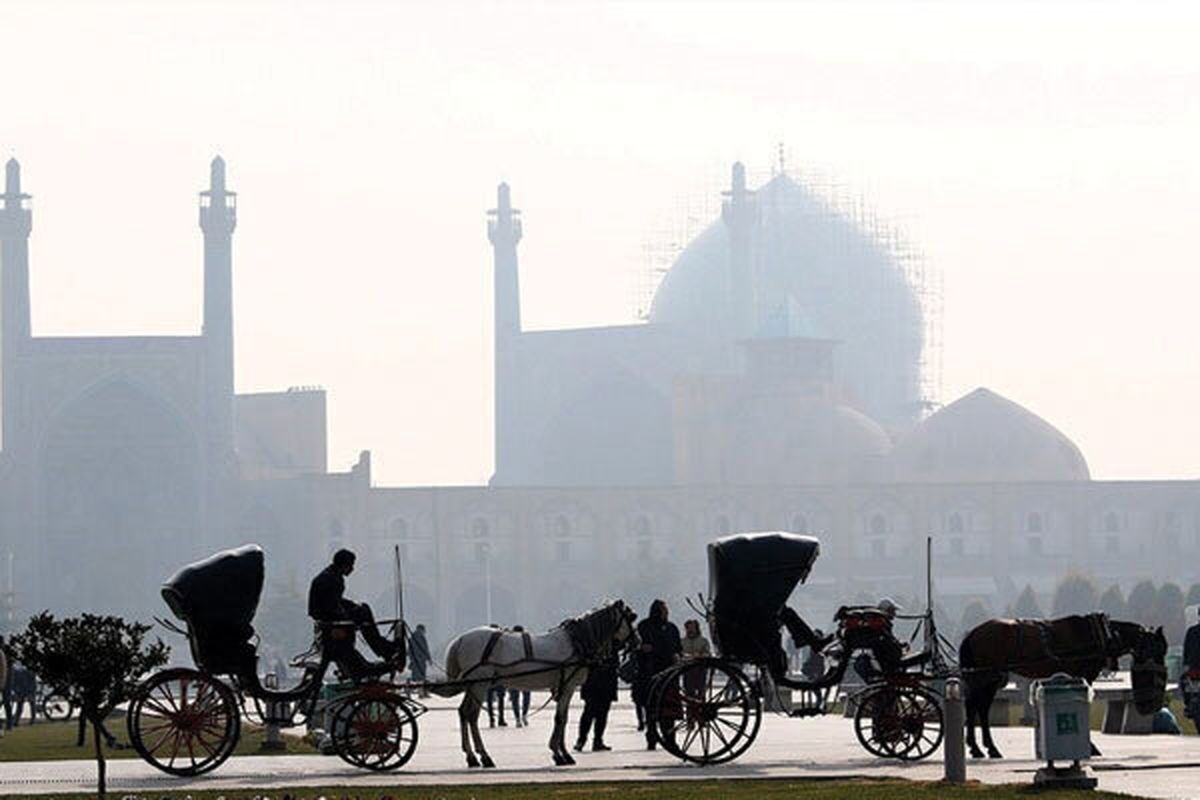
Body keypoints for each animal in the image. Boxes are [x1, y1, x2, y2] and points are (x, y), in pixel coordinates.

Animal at [432, 599, 638, 767]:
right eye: (631, 618)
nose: (638, 640)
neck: (576, 642)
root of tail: (460, 639)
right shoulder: (569, 686)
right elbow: (561, 718)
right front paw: (562, 754)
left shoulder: (564, 687)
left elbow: (562, 717)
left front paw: (559, 753)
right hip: (479, 684)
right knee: (472, 715)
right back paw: (484, 756)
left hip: (473, 684)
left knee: (463, 712)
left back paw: (471, 757)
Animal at [960, 618, 1166, 762]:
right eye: (1159, 650)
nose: (1163, 672)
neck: (1106, 635)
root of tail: (972, 633)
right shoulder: (1083, 675)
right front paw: (1090, 746)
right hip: (987, 675)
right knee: (976, 706)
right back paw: (982, 747)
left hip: (988, 677)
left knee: (978, 708)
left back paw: (982, 747)